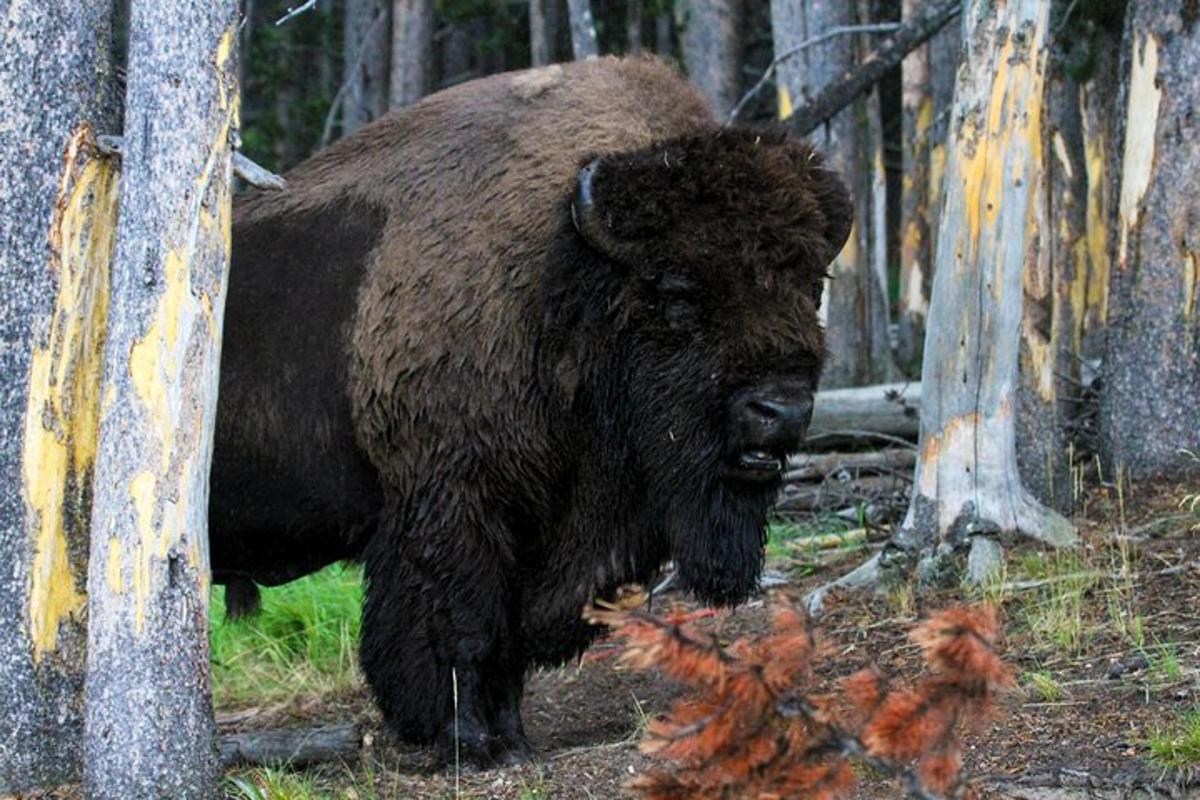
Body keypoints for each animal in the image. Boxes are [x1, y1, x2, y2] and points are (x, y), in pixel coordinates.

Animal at [213, 57, 854, 767]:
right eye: (678, 291)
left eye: (811, 286)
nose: (781, 411)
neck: (560, 280)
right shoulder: (452, 508)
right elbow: (463, 628)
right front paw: (468, 744)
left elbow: (512, 641)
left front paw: (515, 740)